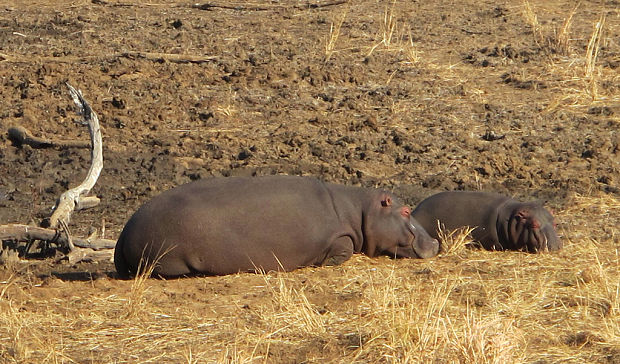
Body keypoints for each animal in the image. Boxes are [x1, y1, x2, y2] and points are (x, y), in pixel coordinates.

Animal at [114, 175, 438, 278]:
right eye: (405, 210)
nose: (435, 242)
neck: (359, 211)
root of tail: (122, 234)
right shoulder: (339, 236)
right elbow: (343, 250)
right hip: (169, 259)